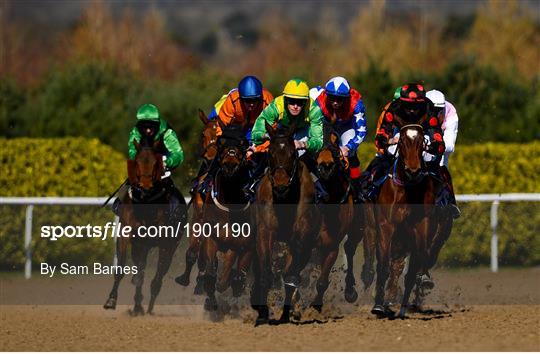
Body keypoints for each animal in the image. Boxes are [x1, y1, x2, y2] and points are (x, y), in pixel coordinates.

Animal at [104, 137, 187, 314]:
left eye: (156, 163)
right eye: (136, 161)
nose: (145, 185)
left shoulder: (163, 244)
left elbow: (155, 276)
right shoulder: (126, 235)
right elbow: (122, 268)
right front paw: (111, 300)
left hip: (171, 245)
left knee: (158, 277)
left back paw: (148, 308)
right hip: (140, 246)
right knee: (141, 271)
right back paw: (137, 305)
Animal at [250, 121, 320, 326]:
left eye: (292, 153)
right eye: (271, 152)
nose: (281, 185)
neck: (284, 199)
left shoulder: (302, 235)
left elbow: (291, 275)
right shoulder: (264, 232)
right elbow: (264, 273)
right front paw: (262, 314)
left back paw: (285, 314)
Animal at [374, 118, 440, 318]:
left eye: (421, 142)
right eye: (401, 142)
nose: (413, 171)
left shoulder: (421, 227)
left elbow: (414, 267)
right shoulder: (387, 226)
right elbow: (383, 265)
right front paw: (378, 306)